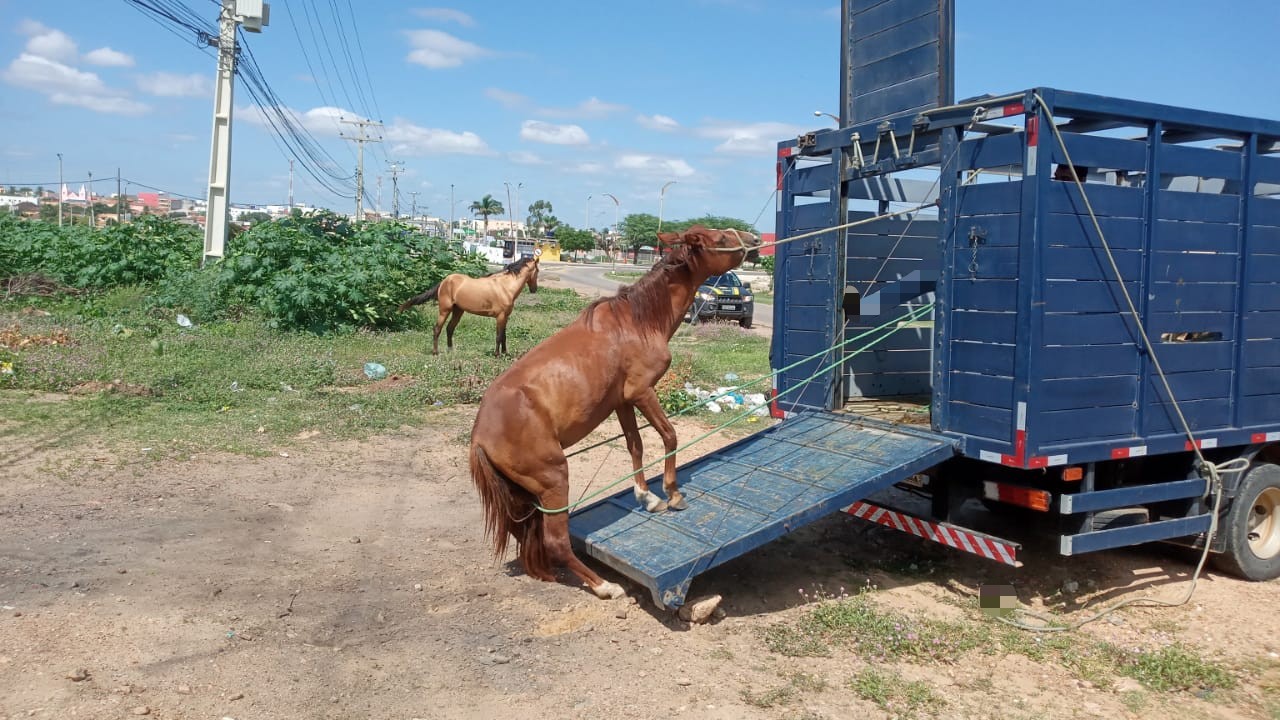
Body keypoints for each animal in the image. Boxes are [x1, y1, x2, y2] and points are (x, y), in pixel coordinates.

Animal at [399, 252, 540, 356]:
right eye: (537, 271)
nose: (534, 289)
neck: (505, 287)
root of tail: (445, 281)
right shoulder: (500, 316)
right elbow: (499, 336)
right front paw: (497, 354)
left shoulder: (505, 317)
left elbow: (504, 336)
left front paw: (505, 353)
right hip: (445, 310)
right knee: (437, 329)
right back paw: (435, 352)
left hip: (458, 311)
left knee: (449, 328)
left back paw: (451, 350)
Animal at [468, 224, 757, 594]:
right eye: (720, 239)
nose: (753, 241)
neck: (637, 321)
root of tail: (479, 436)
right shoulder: (642, 392)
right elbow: (669, 436)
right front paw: (673, 493)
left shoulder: (622, 401)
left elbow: (636, 445)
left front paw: (647, 497)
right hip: (554, 479)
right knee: (556, 541)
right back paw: (603, 586)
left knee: (527, 535)